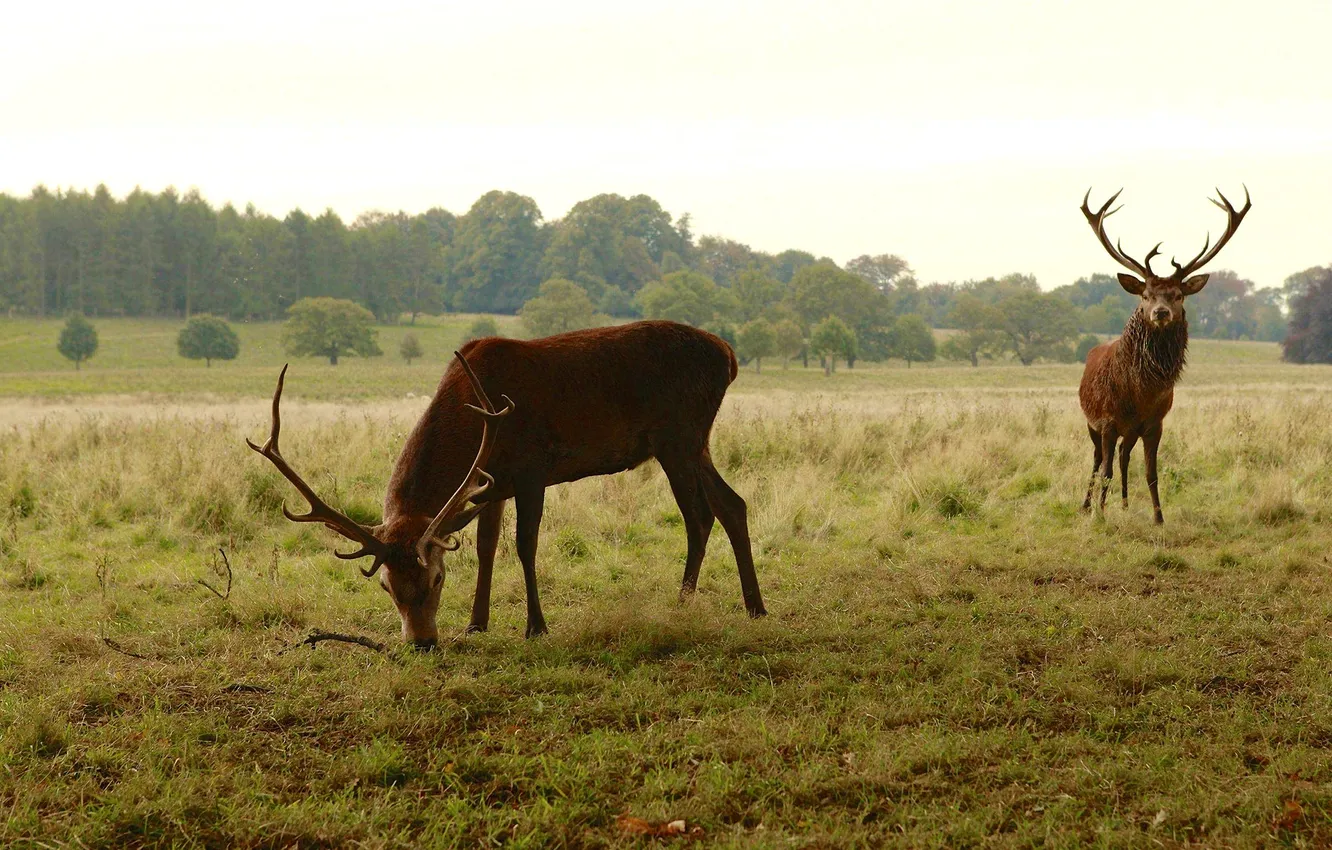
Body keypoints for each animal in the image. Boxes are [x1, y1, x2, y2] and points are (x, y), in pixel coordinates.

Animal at [247, 320, 766, 649]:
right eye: (387, 586)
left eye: (437, 579)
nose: (422, 643)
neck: (475, 421)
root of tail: (730, 356)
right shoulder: (488, 484)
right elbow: (485, 546)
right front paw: (476, 623)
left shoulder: (533, 468)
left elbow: (525, 544)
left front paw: (536, 626)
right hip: (693, 441)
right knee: (731, 504)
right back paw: (748, 605)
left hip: (678, 434)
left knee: (700, 513)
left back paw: (696, 603)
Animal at [1078, 186, 1251, 523]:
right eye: (1145, 295)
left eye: (1178, 295)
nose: (1160, 312)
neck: (1139, 394)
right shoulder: (1107, 421)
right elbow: (1104, 472)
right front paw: (1100, 515)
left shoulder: (1155, 423)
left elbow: (1152, 473)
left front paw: (1159, 518)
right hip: (1092, 424)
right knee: (1097, 461)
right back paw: (1088, 505)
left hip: (1131, 431)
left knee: (1123, 456)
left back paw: (1124, 505)